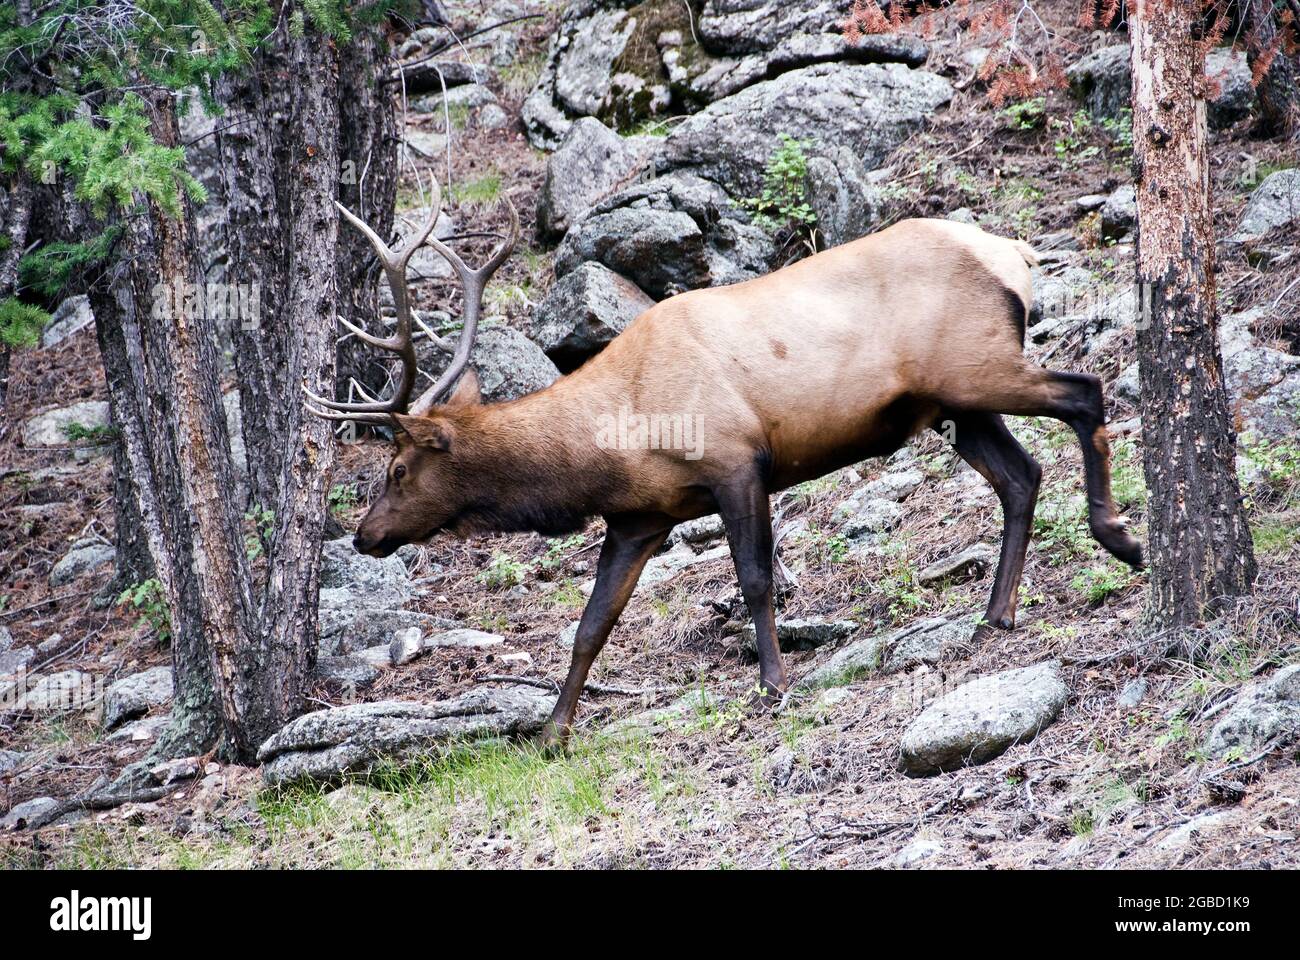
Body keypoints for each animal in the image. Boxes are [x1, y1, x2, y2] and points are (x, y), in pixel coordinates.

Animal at [307, 178, 1144, 749]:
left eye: (397, 472)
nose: (363, 536)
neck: (615, 437)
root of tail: (1017, 252)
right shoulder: (638, 518)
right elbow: (592, 623)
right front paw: (553, 730)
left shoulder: (736, 462)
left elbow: (754, 580)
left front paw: (772, 683)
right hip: (956, 404)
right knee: (1021, 475)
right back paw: (998, 611)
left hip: (977, 367)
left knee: (1085, 392)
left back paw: (1119, 537)